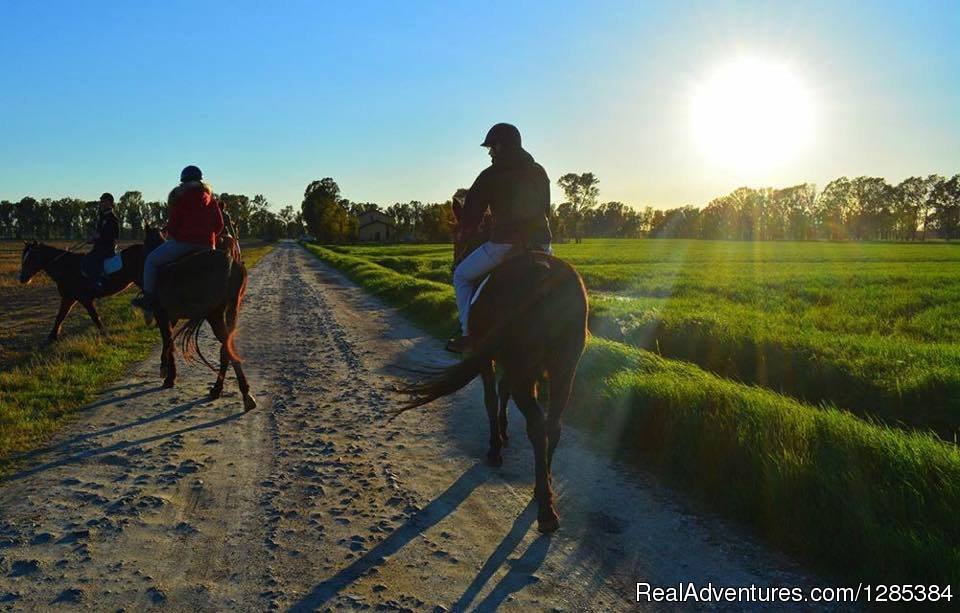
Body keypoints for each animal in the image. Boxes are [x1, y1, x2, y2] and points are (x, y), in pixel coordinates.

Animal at [142, 226, 255, 412]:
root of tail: (230, 262)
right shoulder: (172, 317)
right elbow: (169, 341)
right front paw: (168, 373)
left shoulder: (162, 315)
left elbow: (168, 340)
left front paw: (167, 374)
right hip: (231, 311)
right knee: (227, 347)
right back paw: (224, 390)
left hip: (214, 315)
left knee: (226, 346)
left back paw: (237, 392)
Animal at [396, 201, 588, 532]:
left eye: (458, 233)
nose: (454, 263)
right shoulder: (509, 362)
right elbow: (502, 392)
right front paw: (504, 432)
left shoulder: (486, 357)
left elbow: (490, 397)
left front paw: (495, 446)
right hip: (564, 369)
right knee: (554, 425)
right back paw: (546, 485)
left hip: (529, 370)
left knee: (538, 426)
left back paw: (545, 507)